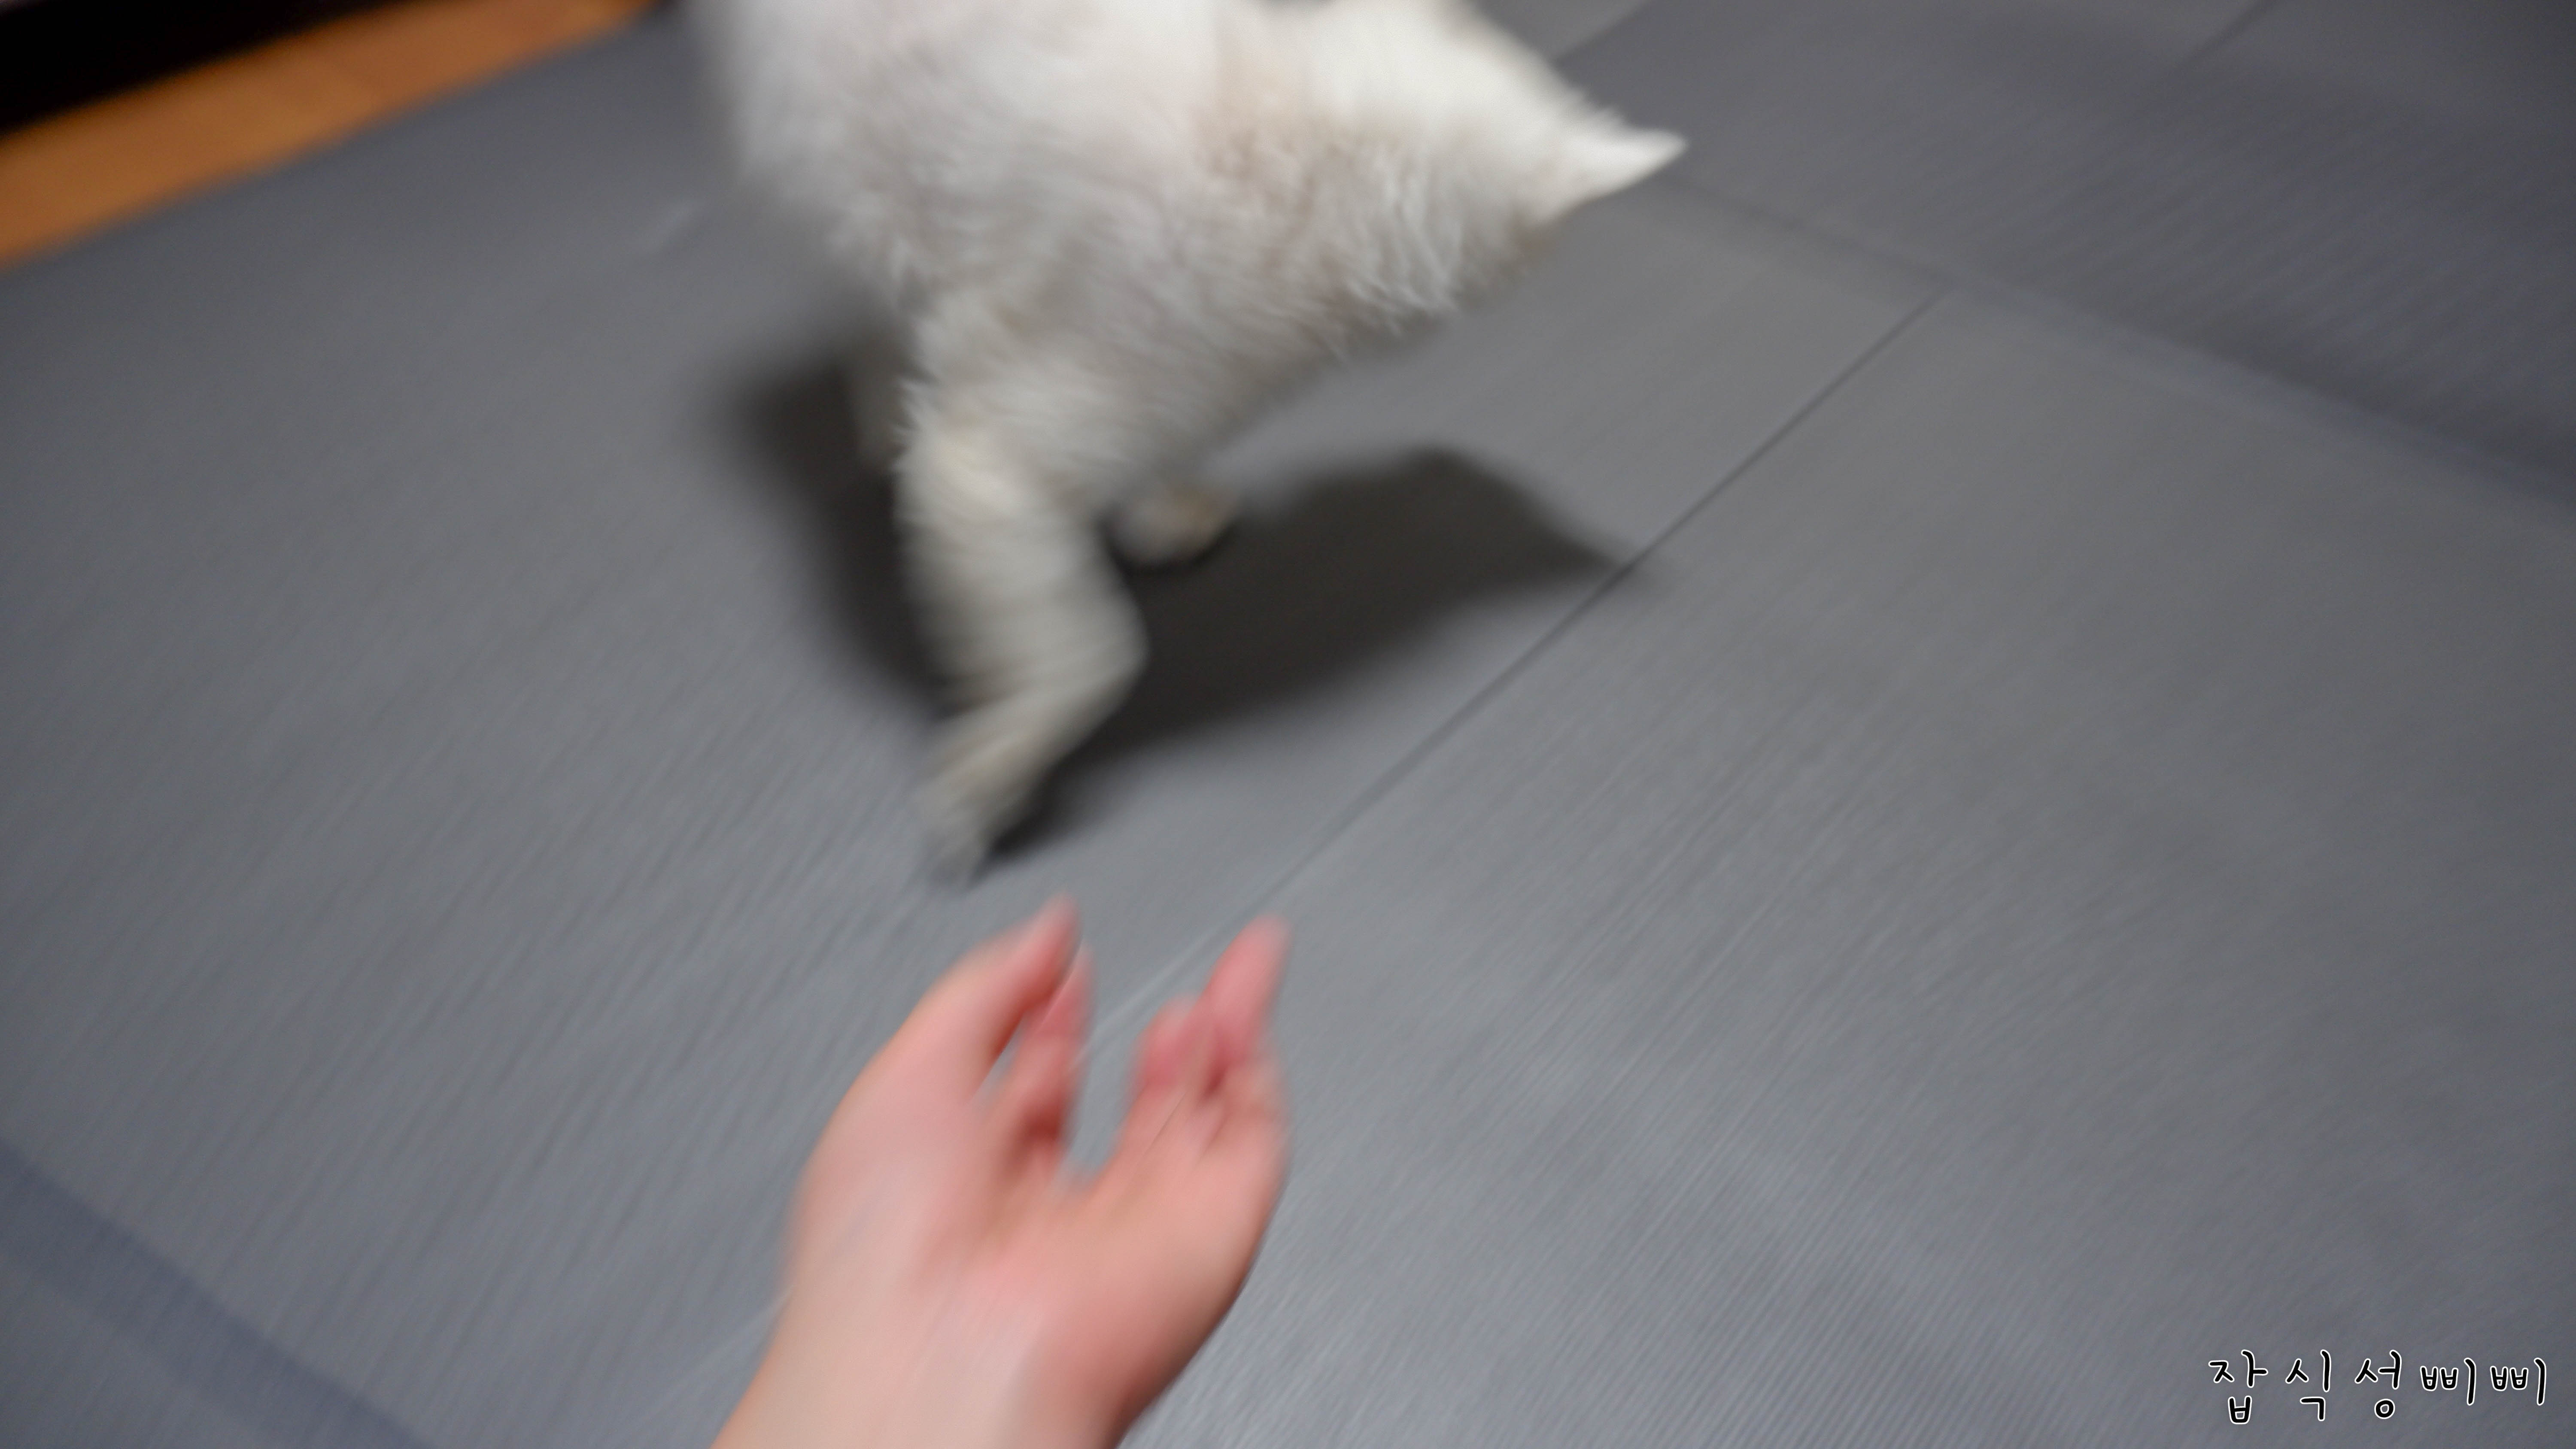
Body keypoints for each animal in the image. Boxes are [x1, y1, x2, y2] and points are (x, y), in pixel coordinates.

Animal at [696, 0, 1682, 870]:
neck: (1302, 158)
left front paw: (1161, 517)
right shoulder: (994, 458)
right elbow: (1094, 653)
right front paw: (989, 776)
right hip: (832, 180)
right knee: (862, 317)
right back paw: (881, 426)